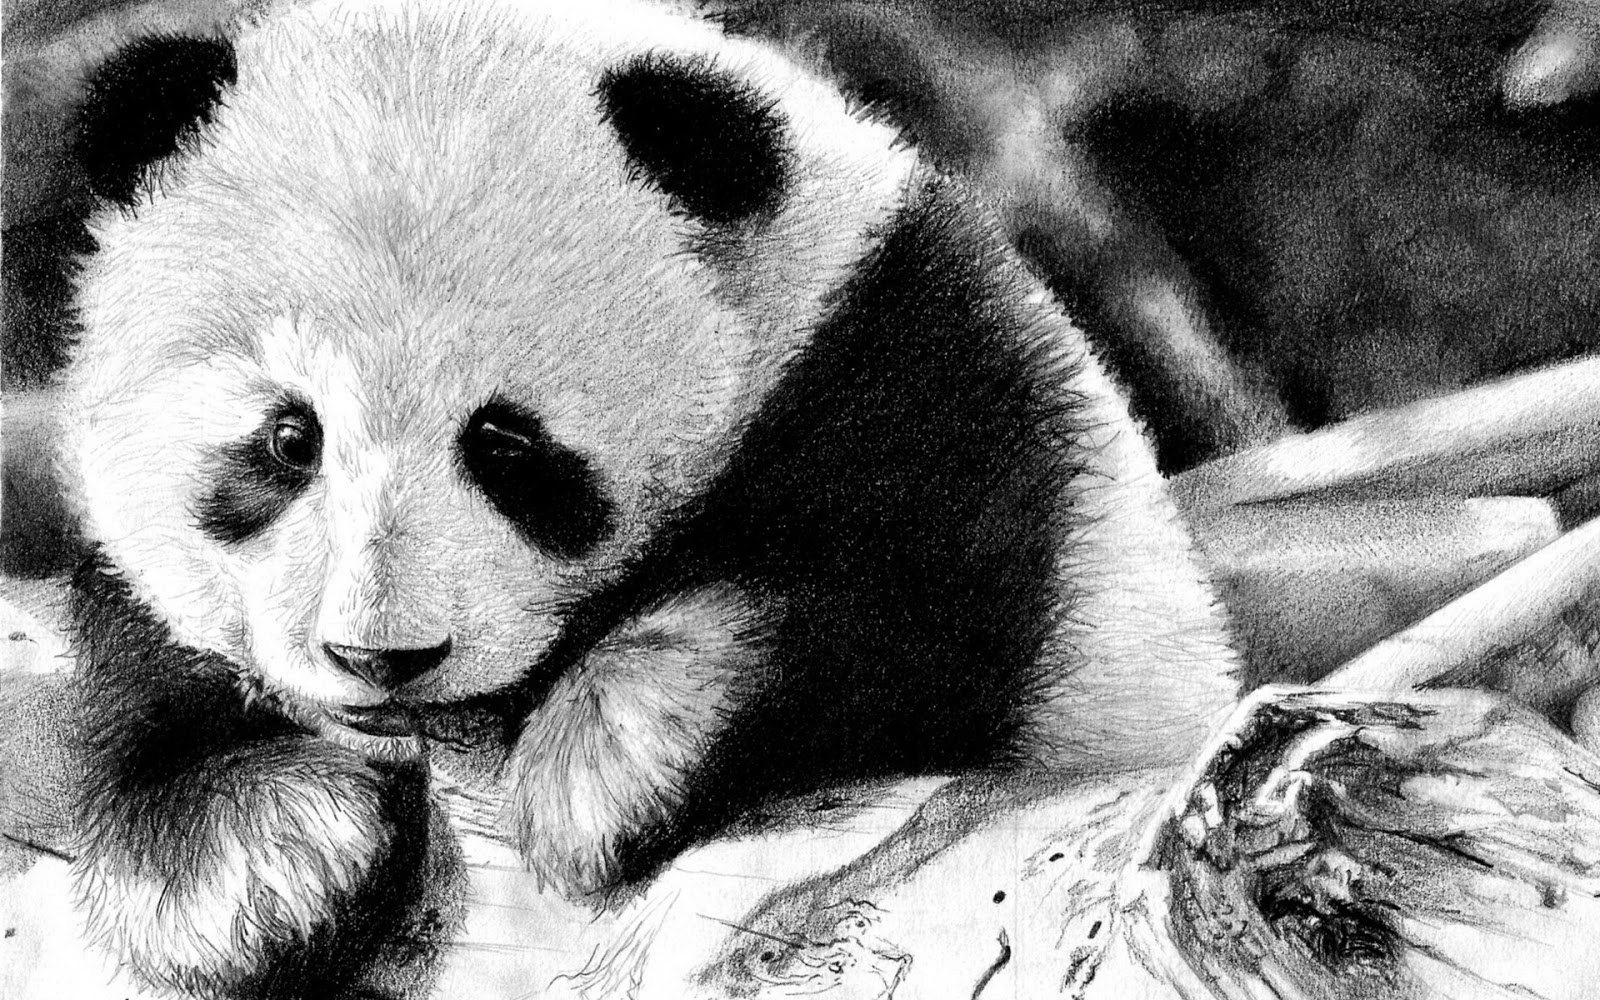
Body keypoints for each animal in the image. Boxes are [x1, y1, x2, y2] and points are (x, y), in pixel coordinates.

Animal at [55, 0, 1240, 994]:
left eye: (506, 443)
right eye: (289, 437)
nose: (382, 657)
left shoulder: (915, 367)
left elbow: (896, 602)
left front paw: (600, 771)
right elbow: (153, 679)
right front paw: (257, 859)